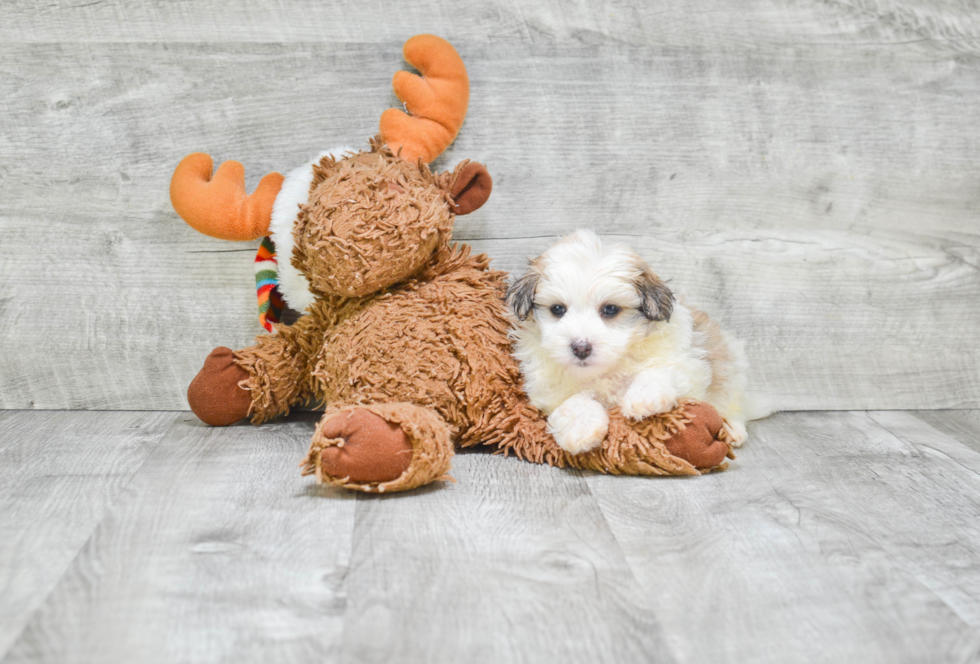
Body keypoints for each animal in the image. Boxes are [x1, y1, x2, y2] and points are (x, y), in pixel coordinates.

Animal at [506, 230, 752, 456]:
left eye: (610, 309)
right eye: (557, 309)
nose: (581, 348)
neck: (607, 369)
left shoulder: (688, 364)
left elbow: (661, 370)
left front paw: (645, 397)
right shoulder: (549, 392)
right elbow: (571, 402)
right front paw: (582, 428)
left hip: (730, 371)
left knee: (733, 404)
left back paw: (734, 430)